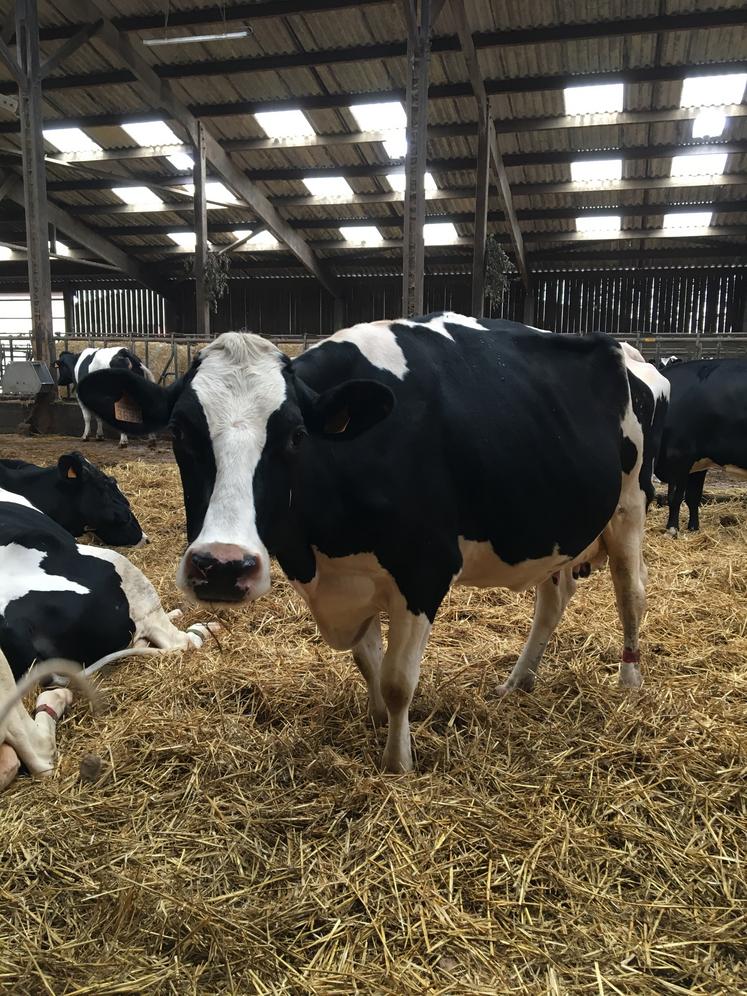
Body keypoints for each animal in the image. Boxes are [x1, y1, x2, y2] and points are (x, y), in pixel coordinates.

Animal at [82, 316, 672, 776]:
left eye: (295, 435)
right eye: (180, 431)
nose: (223, 567)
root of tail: (628, 352)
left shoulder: (424, 570)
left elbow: (396, 680)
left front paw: (398, 761)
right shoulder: (345, 578)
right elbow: (368, 661)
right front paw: (375, 720)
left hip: (630, 508)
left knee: (632, 593)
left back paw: (629, 680)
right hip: (556, 527)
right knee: (553, 599)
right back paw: (517, 682)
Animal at [656, 356, 747, 532]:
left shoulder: (680, 456)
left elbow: (675, 497)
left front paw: (672, 529)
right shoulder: (699, 461)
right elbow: (693, 497)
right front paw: (693, 528)